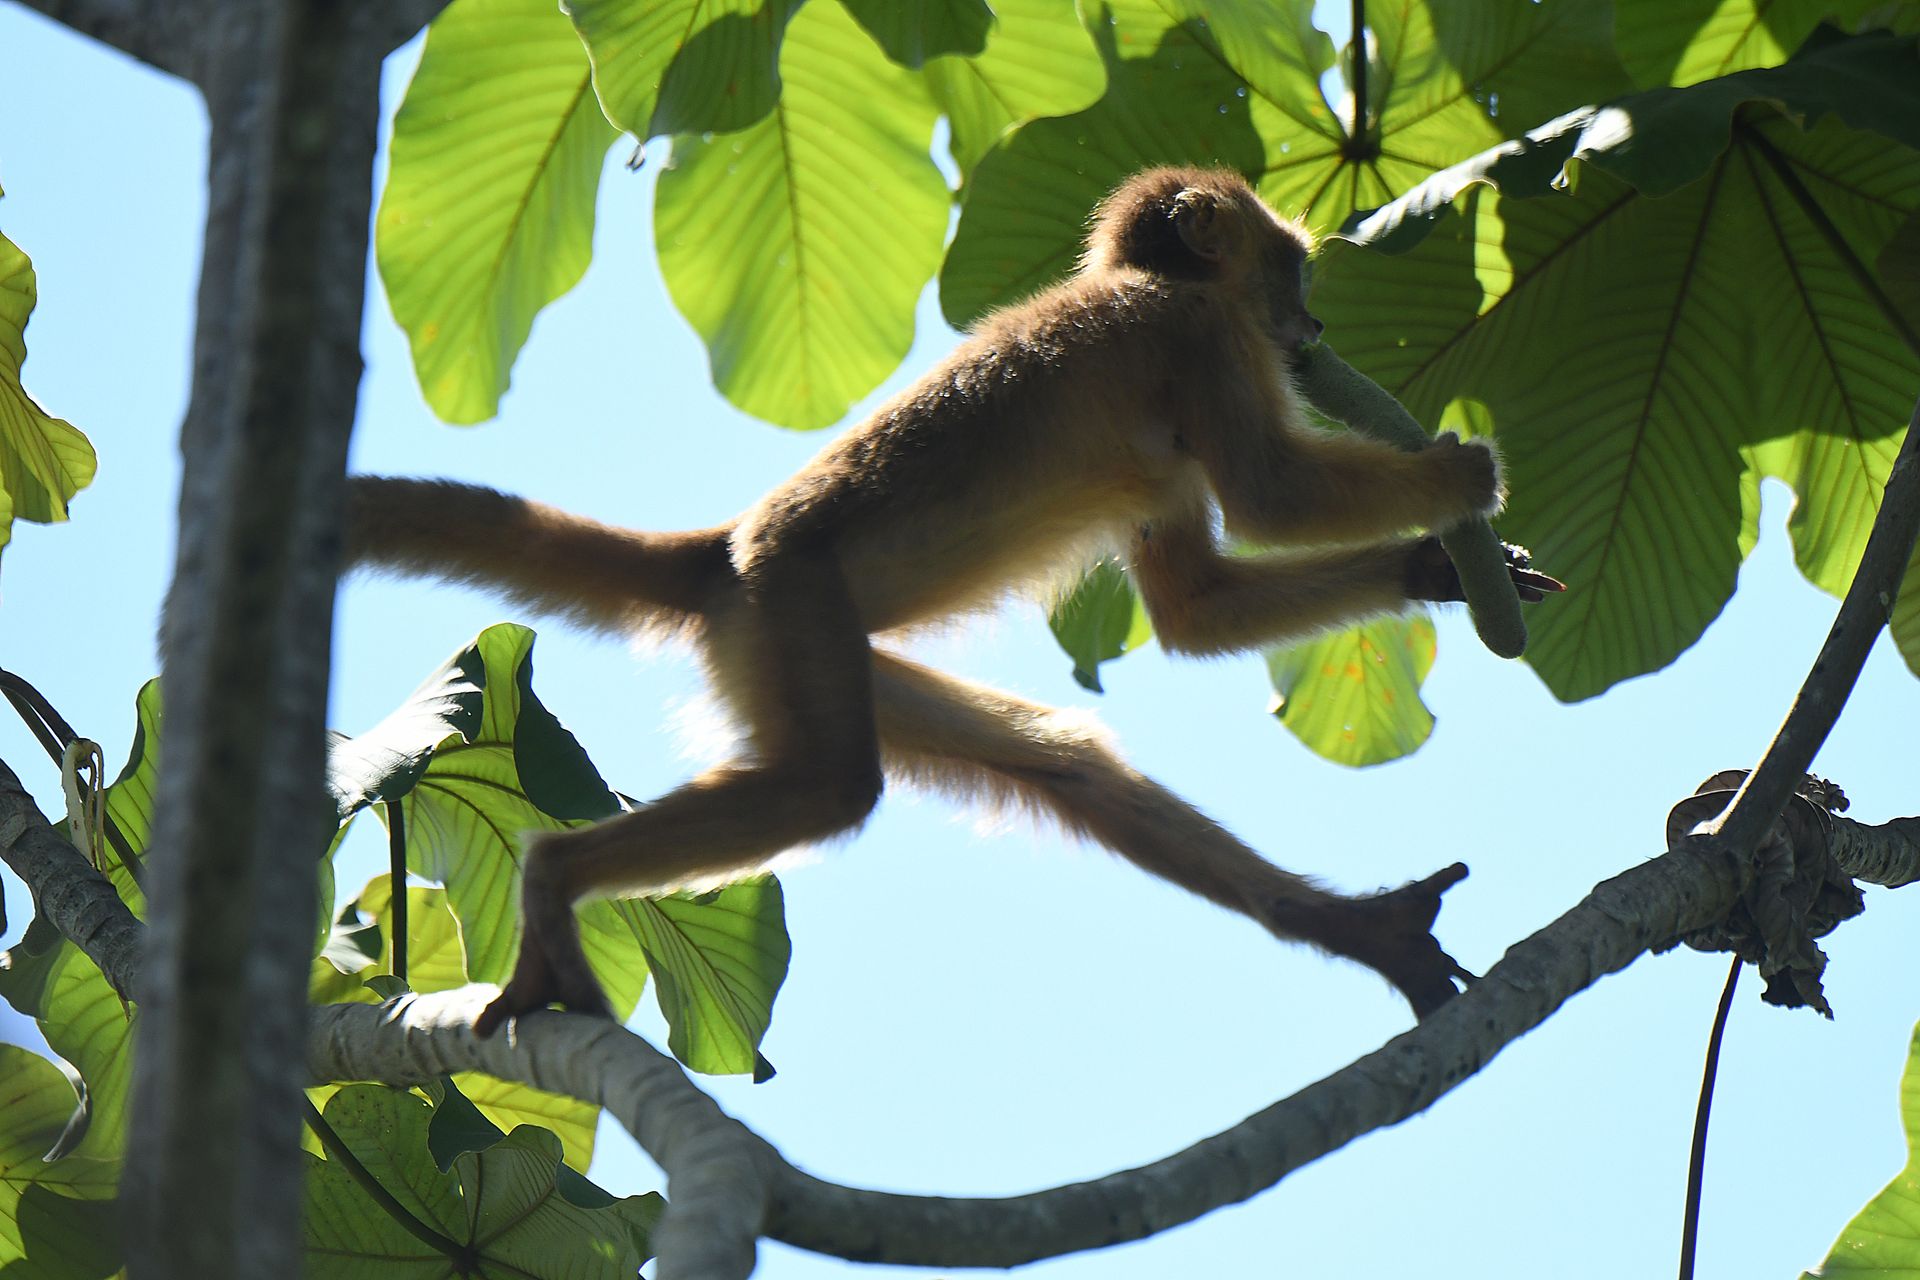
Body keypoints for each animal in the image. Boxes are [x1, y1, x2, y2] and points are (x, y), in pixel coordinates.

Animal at [346, 166, 1563, 1037]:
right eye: (1294, 275)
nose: (1313, 334)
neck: (1152, 284)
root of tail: (725, 552)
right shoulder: (1198, 339)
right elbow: (1271, 496)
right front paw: (1461, 483)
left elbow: (1197, 607)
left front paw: (1436, 571)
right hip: (791, 611)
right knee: (832, 786)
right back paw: (555, 880)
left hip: (810, 653)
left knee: (1067, 763)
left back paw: (1356, 929)